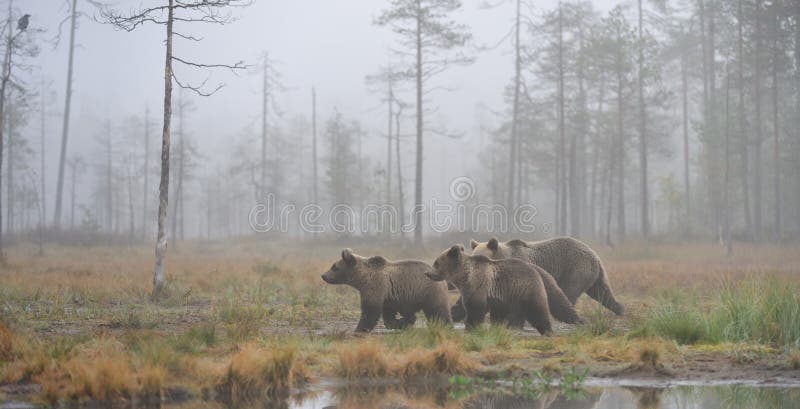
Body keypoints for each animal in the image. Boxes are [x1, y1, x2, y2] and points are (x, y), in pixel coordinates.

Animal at [322, 249, 454, 332]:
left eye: (334, 267)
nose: (323, 275)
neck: (361, 278)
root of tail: (442, 278)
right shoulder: (389, 297)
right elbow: (388, 315)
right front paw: (402, 322)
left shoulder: (375, 286)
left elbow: (370, 310)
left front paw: (359, 328)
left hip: (429, 291)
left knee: (438, 310)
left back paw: (446, 325)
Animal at [428, 244, 580, 334]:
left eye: (436, 263)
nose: (427, 273)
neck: (464, 276)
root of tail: (538, 270)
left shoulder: (477, 286)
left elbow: (475, 308)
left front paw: (471, 326)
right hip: (514, 294)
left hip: (527, 288)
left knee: (538, 309)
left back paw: (547, 329)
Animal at [468, 236, 624, 316]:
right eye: (472, 257)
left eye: (480, 258)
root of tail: (595, 255)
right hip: (594, 275)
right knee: (602, 292)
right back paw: (620, 309)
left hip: (576, 269)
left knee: (569, 292)